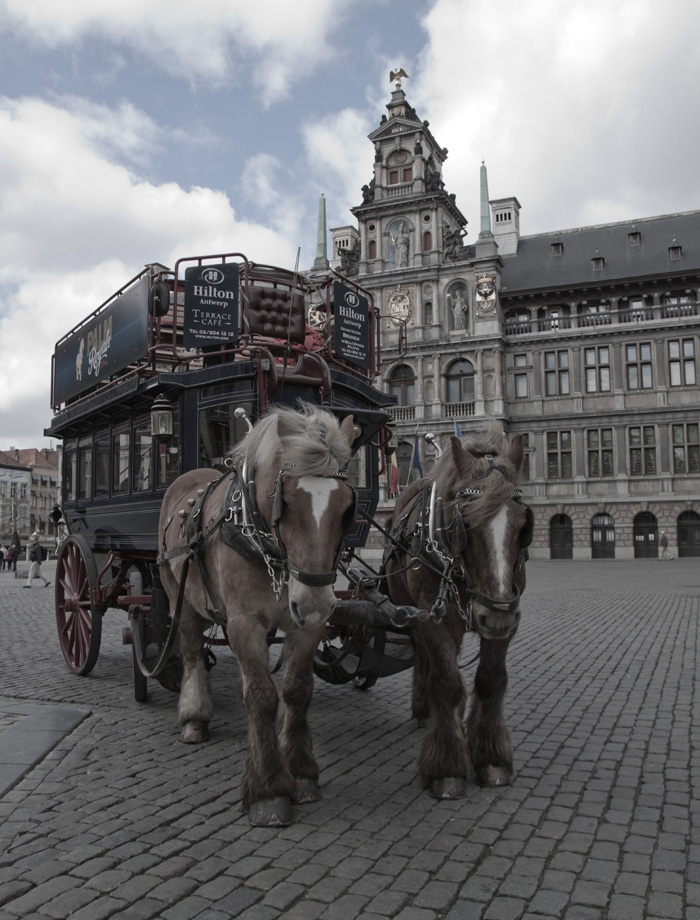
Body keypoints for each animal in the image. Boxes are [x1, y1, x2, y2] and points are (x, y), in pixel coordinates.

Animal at [159, 402, 356, 828]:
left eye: (347, 508)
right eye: (287, 501)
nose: (316, 602)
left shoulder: (305, 626)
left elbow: (296, 690)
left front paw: (301, 772)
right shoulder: (244, 621)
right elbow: (264, 696)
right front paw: (268, 789)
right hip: (178, 594)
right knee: (192, 651)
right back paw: (194, 716)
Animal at [382, 424, 532, 796]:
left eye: (523, 526)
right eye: (466, 525)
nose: (495, 616)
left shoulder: (507, 614)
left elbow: (491, 679)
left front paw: (492, 758)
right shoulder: (432, 615)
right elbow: (446, 680)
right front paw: (446, 766)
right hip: (414, 609)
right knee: (426, 658)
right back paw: (426, 708)